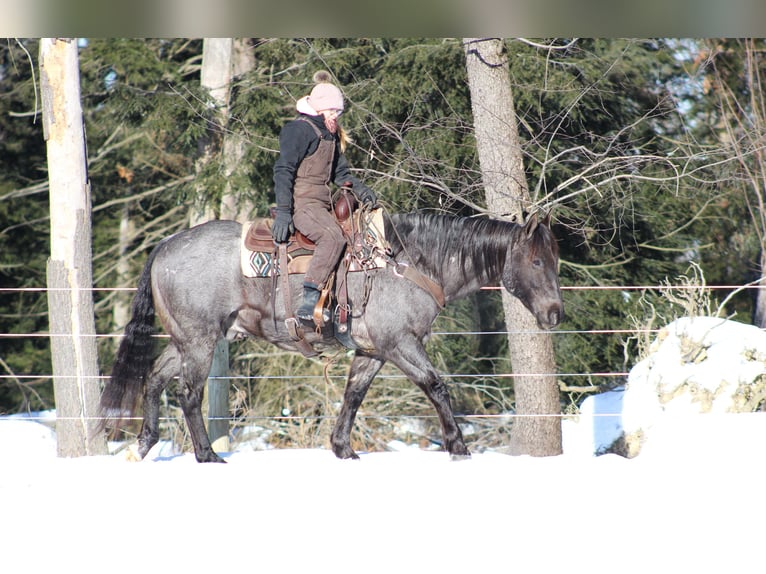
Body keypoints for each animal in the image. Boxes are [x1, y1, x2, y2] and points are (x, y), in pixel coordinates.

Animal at [102, 212, 564, 464]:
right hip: (200, 340)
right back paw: (208, 455)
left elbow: (353, 395)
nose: (555, 314)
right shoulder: (401, 344)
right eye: (537, 262)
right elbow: (436, 386)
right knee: (187, 393)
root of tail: (165, 245)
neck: (408, 263)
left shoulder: (374, 351)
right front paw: (458, 446)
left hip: (185, 339)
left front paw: (343, 448)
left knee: (154, 379)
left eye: (555, 260)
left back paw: (144, 443)